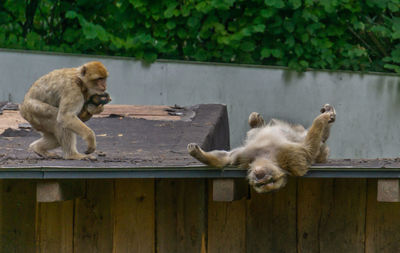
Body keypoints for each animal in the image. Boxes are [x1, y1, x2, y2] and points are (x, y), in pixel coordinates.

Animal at [189, 104, 336, 193]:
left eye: (269, 181)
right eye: (260, 185)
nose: (259, 178)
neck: (266, 156)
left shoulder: (292, 157)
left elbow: (308, 149)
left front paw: (322, 118)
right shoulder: (244, 157)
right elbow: (227, 158)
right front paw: (197, 153)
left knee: (317, 143)